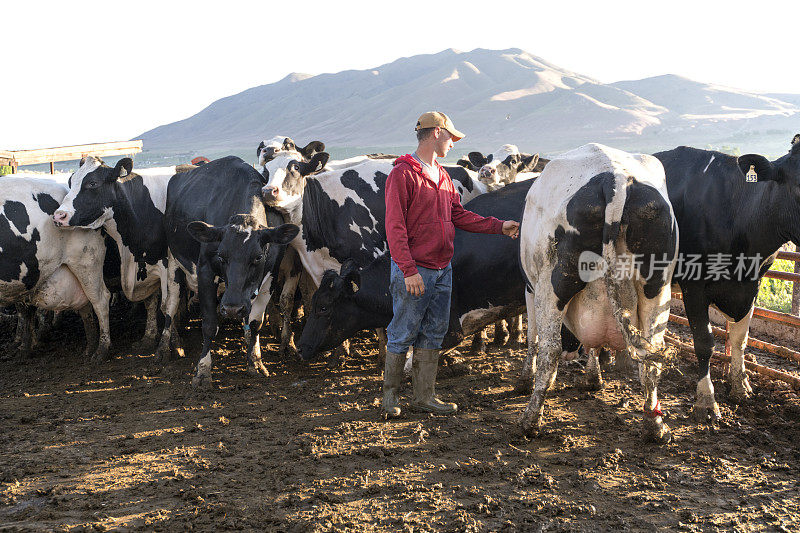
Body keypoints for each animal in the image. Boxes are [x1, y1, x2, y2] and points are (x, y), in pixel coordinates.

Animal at [52, 157, 184, 358]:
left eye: (92, 183)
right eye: (70, 181)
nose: (59, 216)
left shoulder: (168, 264)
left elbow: (168, 304)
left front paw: (171, 346)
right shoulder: (144, 266)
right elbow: (150, 303)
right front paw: (148, 338)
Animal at [164, 155, 298, 386]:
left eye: (258, 257)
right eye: (221, 256)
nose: (232, 309)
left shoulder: (270, 277)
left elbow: (255, 323)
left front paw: (255, 363)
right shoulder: (205, 271)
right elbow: (209, 324)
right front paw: (203, 371)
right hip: (173, 263)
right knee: (170, 306)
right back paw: (168, 348)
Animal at [516, 143, 680, 442]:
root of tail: (615, 179)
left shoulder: (529, 289)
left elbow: (532, 338)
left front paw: (524, 380)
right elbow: (594, 342)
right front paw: (594, 378)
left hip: (553, 284)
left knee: (550, 352)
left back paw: (529, 421)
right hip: (658, 289)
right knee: (651, 359)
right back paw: (655, 425)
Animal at [652, 135, 800, 422]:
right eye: (799, 188)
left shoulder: (752, 285)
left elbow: (740, 339)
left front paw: (740, 386)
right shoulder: (694, 286)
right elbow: (704, 342)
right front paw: (706, 401)